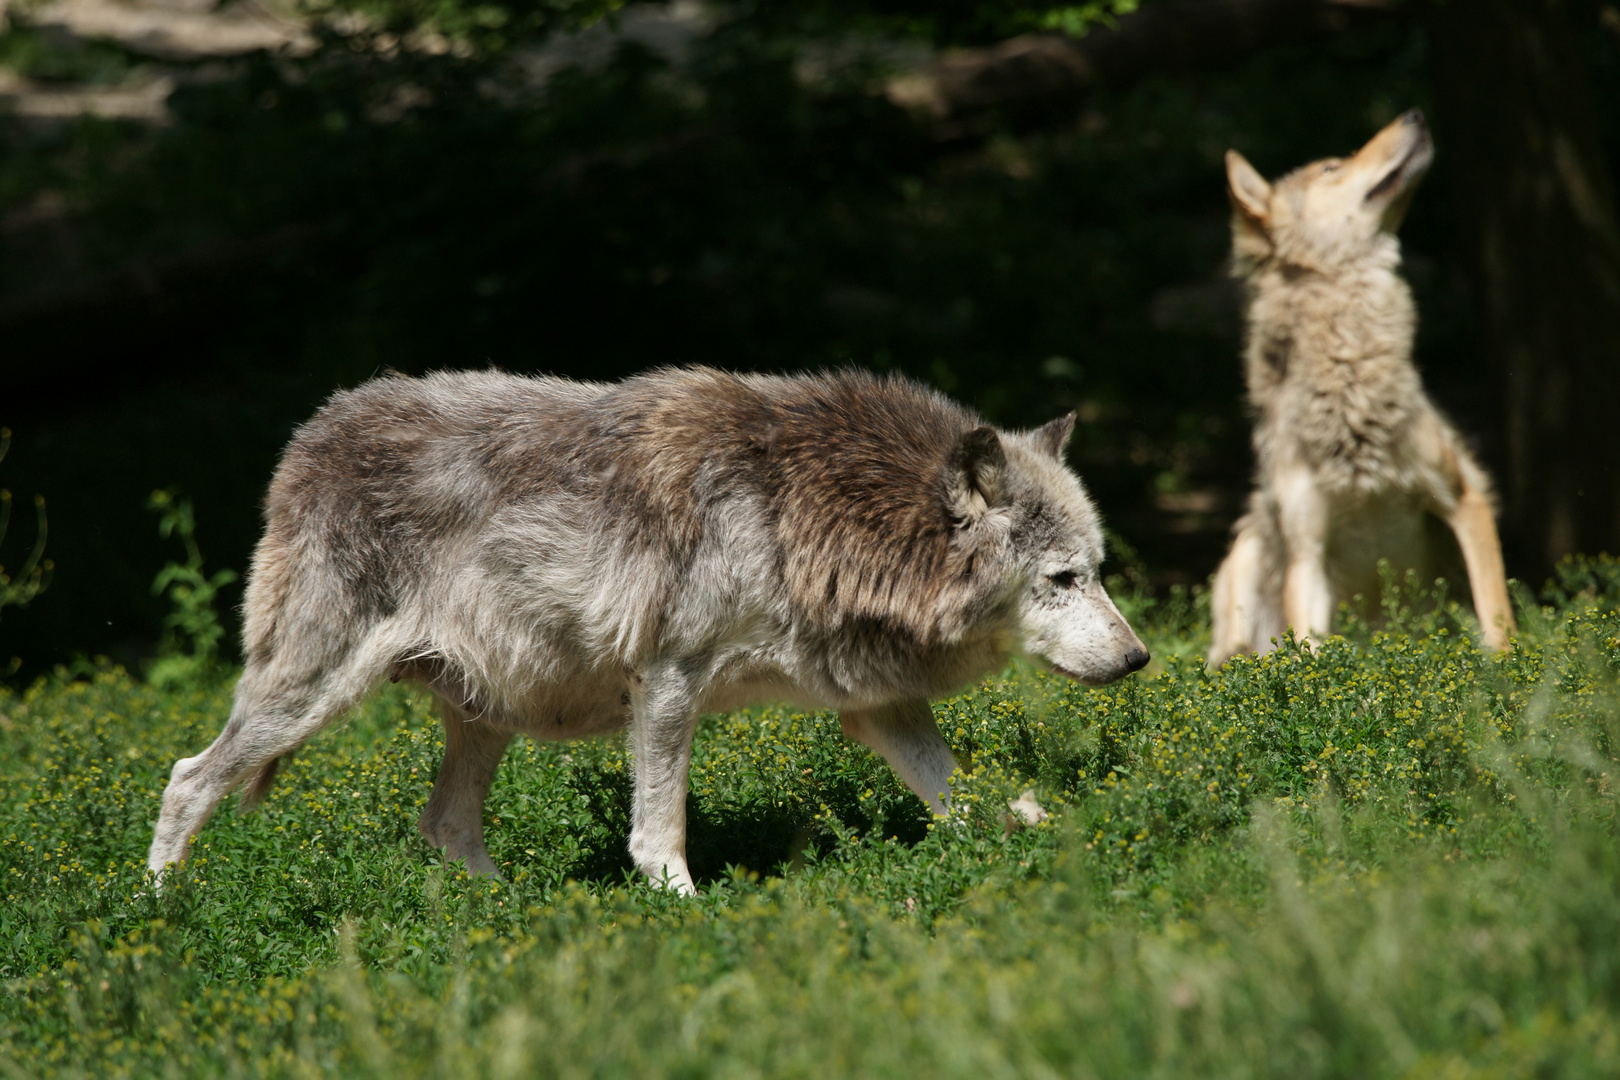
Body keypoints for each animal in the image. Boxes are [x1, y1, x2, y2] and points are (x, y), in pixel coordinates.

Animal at [145, 367, 1146, 893]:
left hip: (487, 712)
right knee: (188, 778)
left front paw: (1057, 845)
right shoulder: (669, 680)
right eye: (1063, 579)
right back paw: (160, 915)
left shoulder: (878, 707)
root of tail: (310, 436)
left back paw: (509, 917)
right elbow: (659, 830)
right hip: (310, 697)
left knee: (444, 822)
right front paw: (684, 915)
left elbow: (974, 795)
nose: (1140, 657)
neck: (809, 516)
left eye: (1098, 573)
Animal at [1218, 111, 1516, 667]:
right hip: (1245, 558)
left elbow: (1497, 620)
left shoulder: (1466, 500)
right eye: (1333, 168)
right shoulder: (1307, 557)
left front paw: (1512, 677)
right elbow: (1309, 657)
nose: (1414, 115)